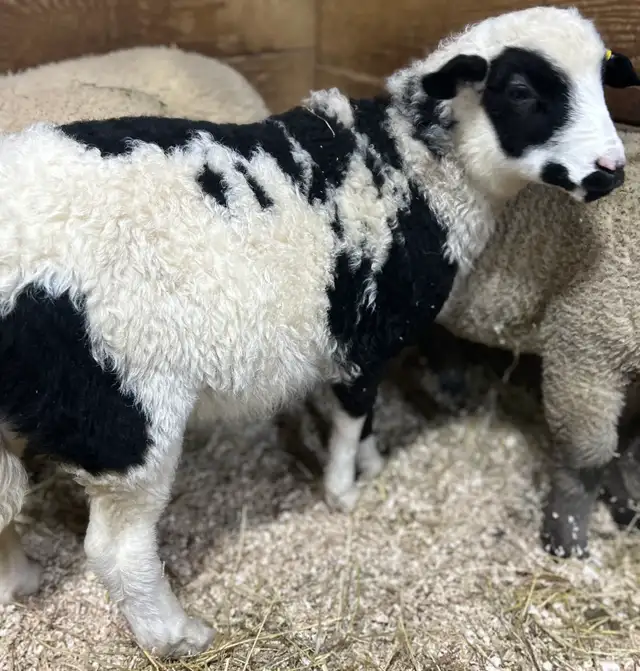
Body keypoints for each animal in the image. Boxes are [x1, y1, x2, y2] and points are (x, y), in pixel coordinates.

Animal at [0, 5, 629, 658]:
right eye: (522, 90)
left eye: (603, 81)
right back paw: (176, 635)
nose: (612, 170)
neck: (419, 170)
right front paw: (344, 488)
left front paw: (370, 463)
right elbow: (353, 415)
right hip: (126, 409)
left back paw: (20, 581)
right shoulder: (367, 332)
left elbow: (364, 415)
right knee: (117, 550)